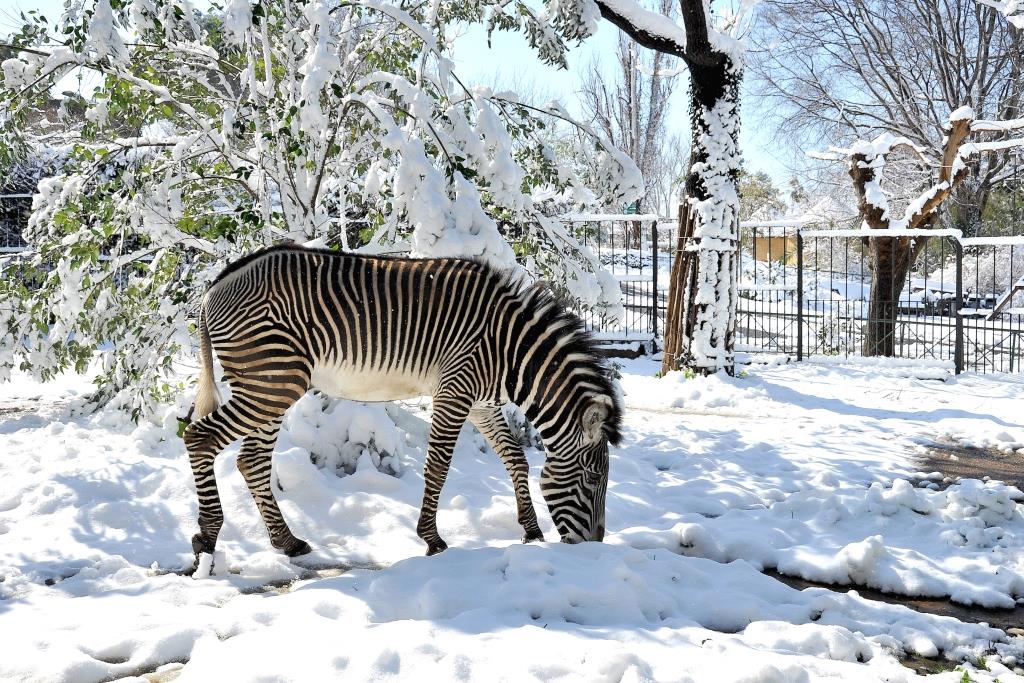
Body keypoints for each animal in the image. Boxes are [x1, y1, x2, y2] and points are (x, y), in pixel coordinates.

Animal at [180, 245, 618, 573]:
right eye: (594, 478)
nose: (593, 547)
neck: (508, 347)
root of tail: (214, 286)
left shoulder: (481, 402)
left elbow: (515, 458)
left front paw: (530, 530)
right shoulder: (455, 390)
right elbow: (438, 466)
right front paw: (433, 539)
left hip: (269, 385)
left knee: (251, 460)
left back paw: (287, 542)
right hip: (273, 380)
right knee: (199, 437)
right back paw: (207, 537)